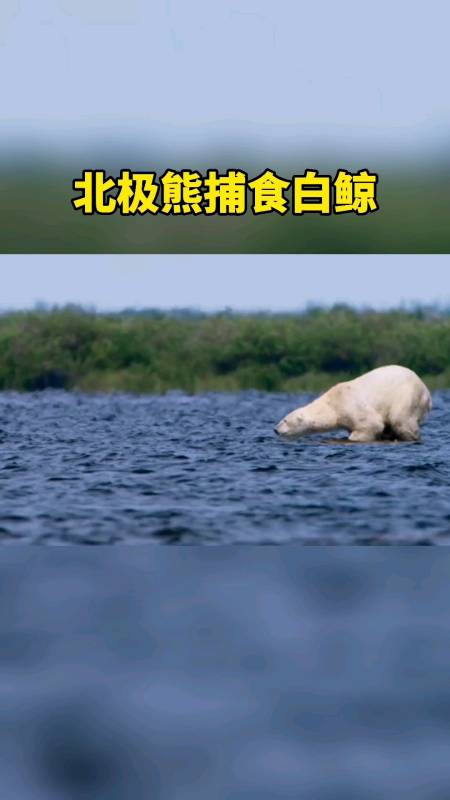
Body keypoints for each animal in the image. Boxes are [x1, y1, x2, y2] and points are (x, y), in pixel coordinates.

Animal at [274, 365, 432, 443]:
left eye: (285, 420)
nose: (275, 429)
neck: (331, 405)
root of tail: (426, 391)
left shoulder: (350, 405)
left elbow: (372, 424)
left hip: (407, 395)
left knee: (400, 419)